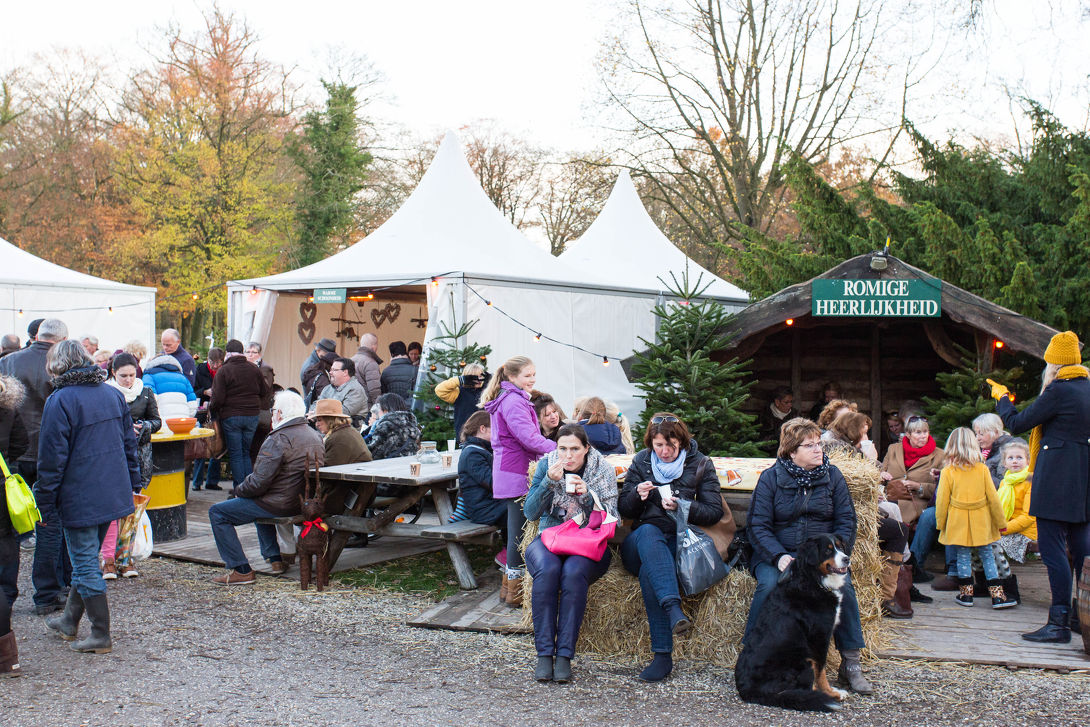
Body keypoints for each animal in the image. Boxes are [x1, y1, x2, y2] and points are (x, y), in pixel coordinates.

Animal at [732, 531, 850, 715]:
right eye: (828, 550)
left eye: (840, 547)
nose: (847, 559)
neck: (813, 581)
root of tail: (746, 689)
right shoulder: (819, 637)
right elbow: (821, 671)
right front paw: (831, 693)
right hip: (803, 660)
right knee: (803, 689)